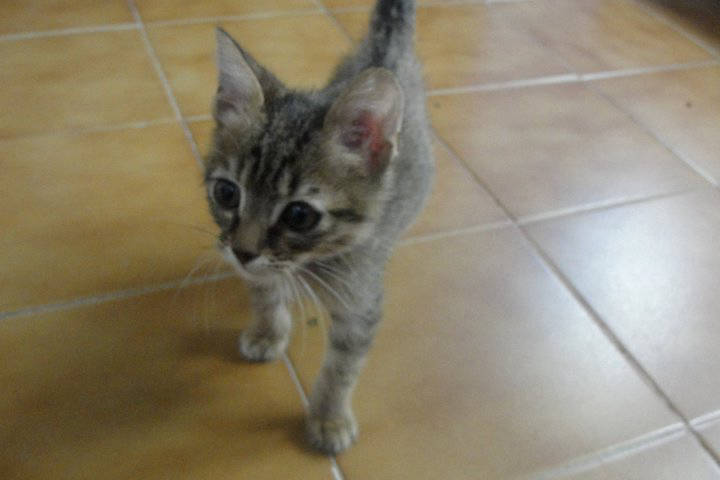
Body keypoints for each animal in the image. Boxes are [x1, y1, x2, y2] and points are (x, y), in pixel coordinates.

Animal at [203, 0, 433, 454]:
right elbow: (263, 292)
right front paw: (267, 331)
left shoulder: (361, 302)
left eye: (299, 216)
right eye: (226, 193)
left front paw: (328, 417)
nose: (242, 251)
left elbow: (343, 365)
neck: (310, 261)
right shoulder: (256, 265)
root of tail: (386, 47)